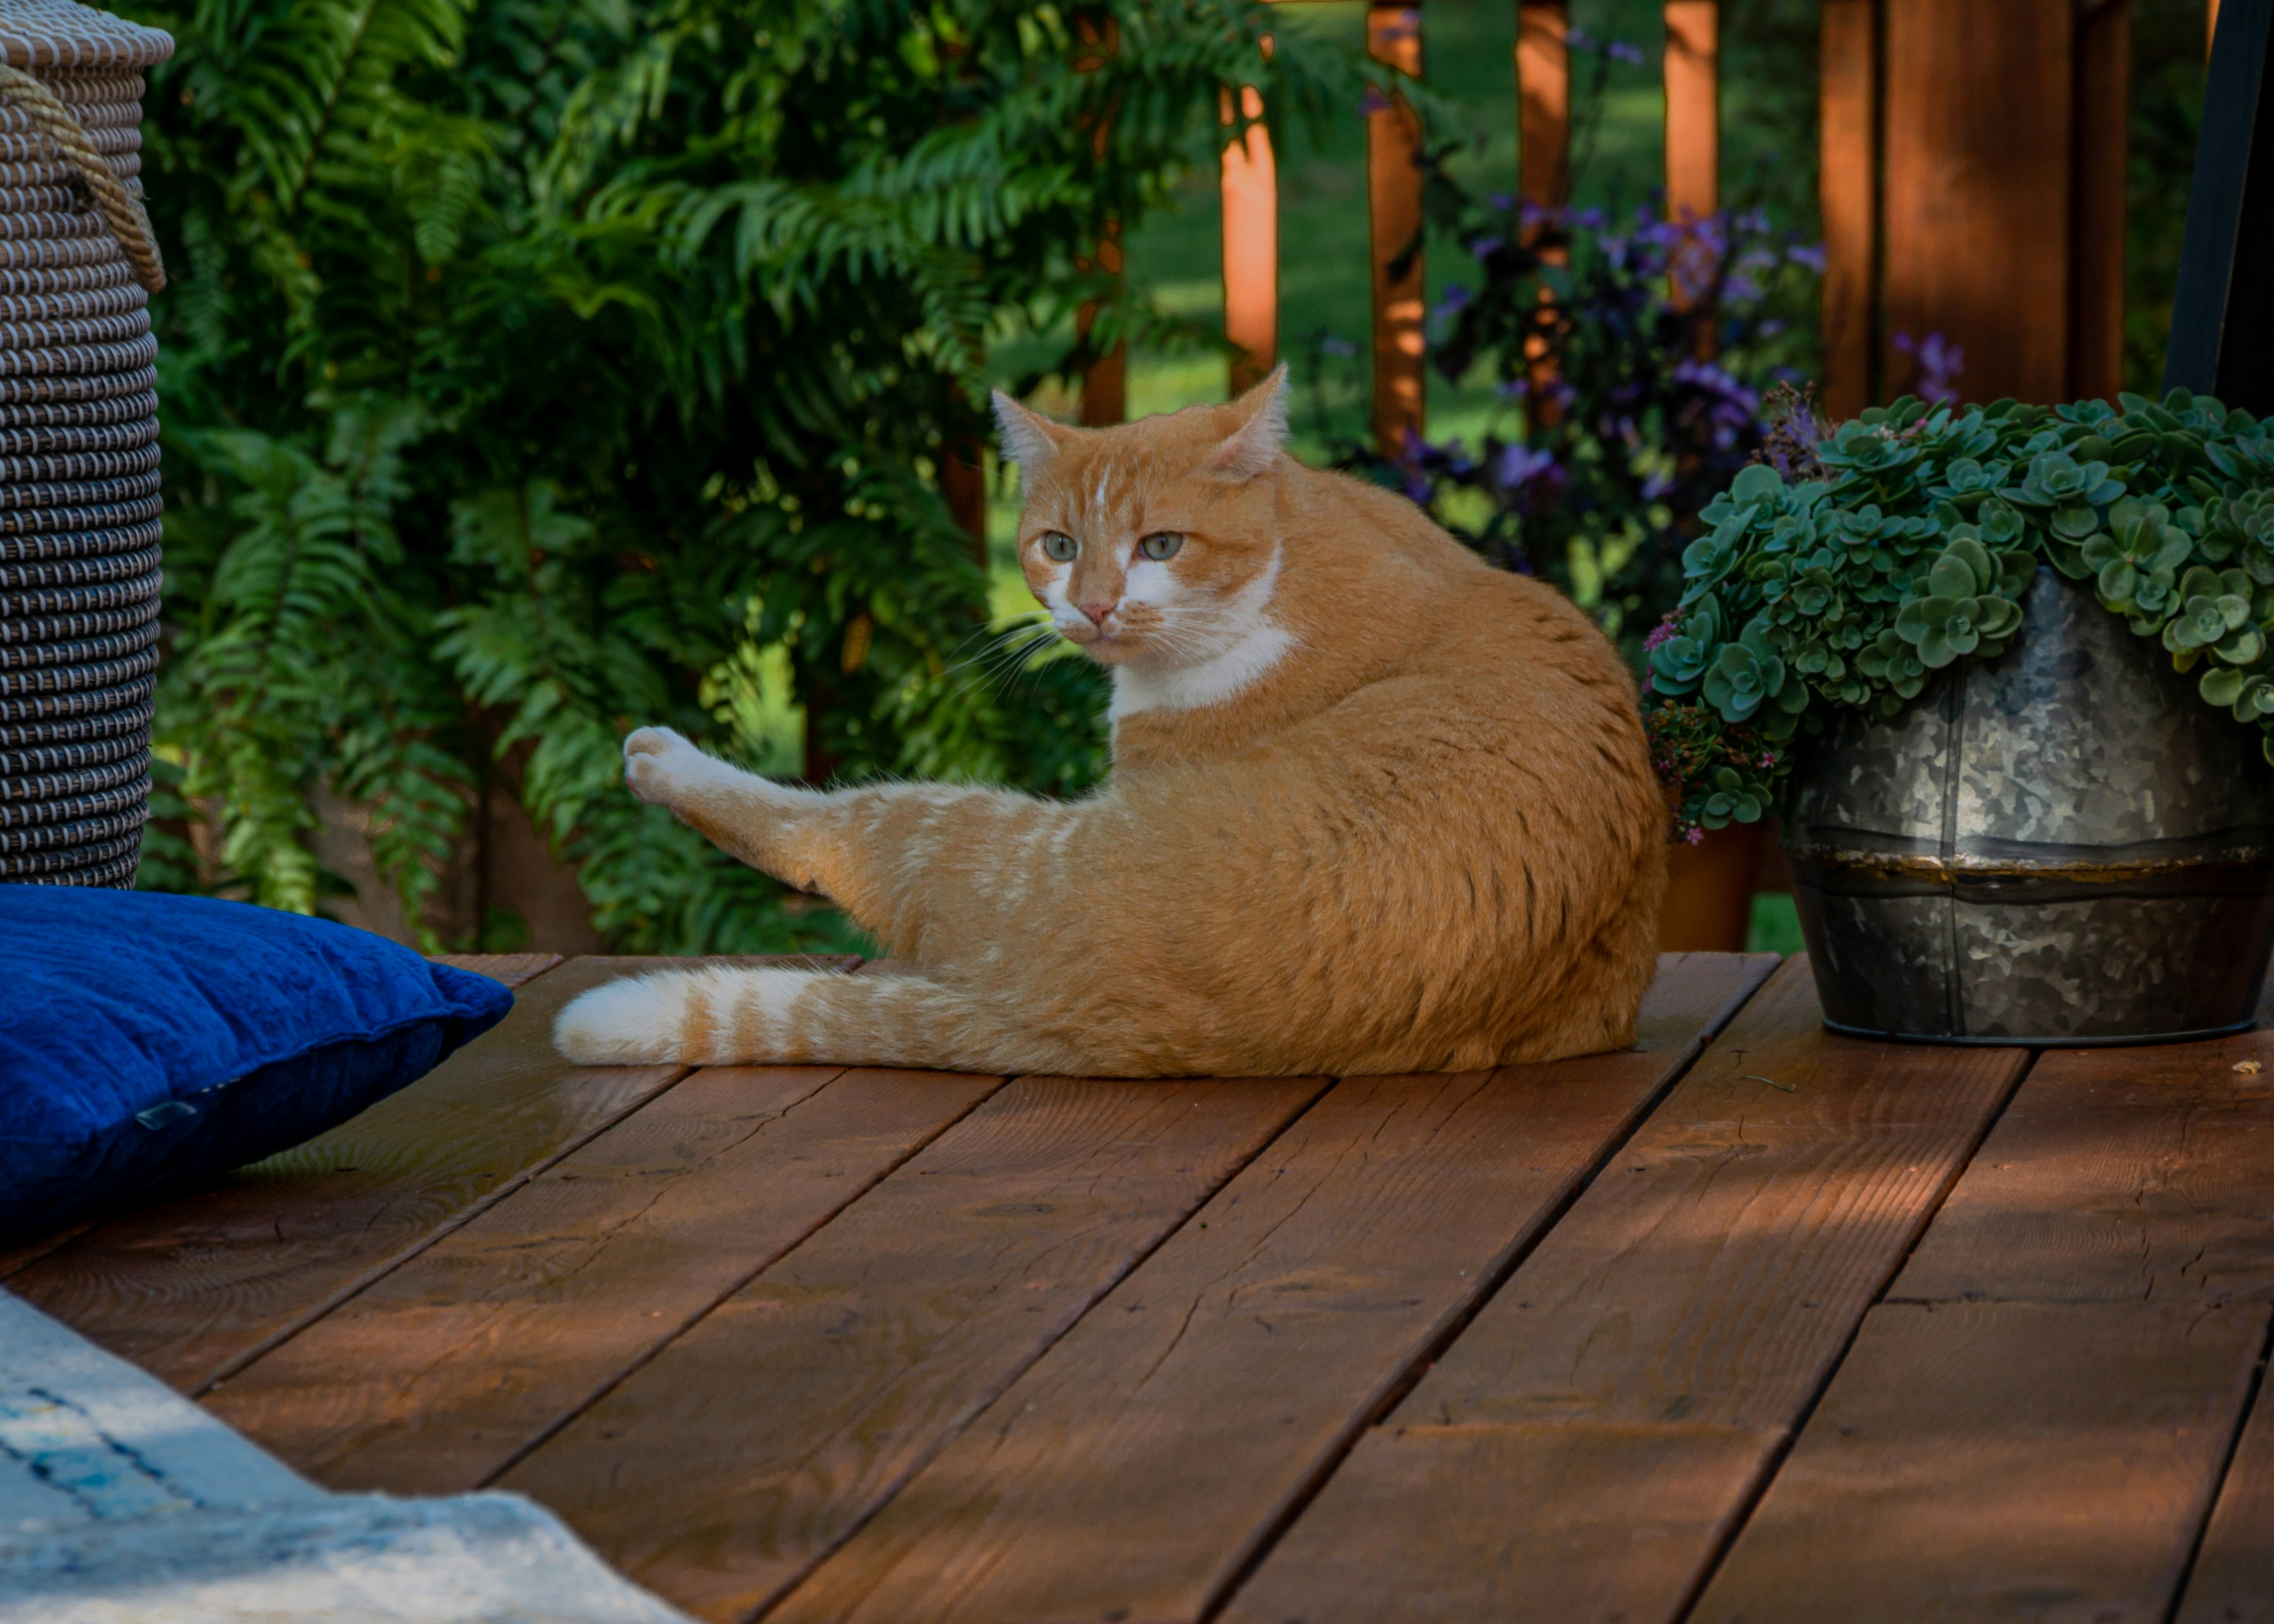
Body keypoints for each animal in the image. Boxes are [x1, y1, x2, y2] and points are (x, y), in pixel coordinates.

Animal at [557, 371, 1673, 1069]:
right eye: (1056, 545)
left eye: (1160, 545)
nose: (1092, 607)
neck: (1289, 559)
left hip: (991, 840)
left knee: (827, 829)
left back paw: (662, 759)